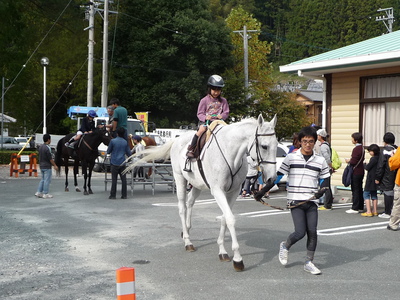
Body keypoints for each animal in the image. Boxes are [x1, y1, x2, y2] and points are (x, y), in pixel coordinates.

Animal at [126, 115, 276, 272]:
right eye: (264, 146)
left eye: (277, 144)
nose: (271, 179)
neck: (230, 153)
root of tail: (177, 140)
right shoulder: (218, 191)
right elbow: (230, 219)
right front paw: (237, 259)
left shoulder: (233, 192)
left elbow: (224, 218)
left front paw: (222, 251)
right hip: (179, 178)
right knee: (182, 207)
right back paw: (188, 242)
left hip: (196, 184)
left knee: (190, 202)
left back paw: (186, 229)